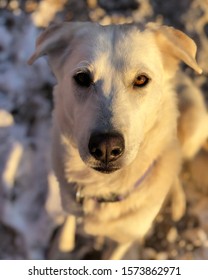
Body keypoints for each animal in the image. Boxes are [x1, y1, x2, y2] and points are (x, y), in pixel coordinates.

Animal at [28, 21, 207, 258]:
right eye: (82, 78)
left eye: (141, 79)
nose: (106, 147)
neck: (104, 187)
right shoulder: (71, 201)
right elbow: (69, 222)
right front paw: (62, 245)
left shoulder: (124, 239)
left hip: (193, 123)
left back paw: (177, 201)